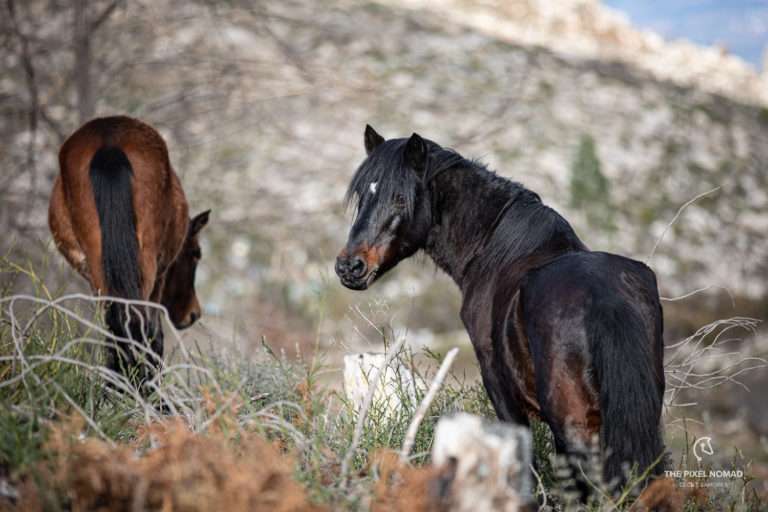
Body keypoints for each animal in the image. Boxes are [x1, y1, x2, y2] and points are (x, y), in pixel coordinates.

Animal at [48, 115, 210, 388]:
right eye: (196, 253)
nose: (193, 314)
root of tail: (109, 143)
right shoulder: (160, 276)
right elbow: (155, 336)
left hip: (100, 267)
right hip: (146, 268)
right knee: (139, 327)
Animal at [336, 125, 664, 496]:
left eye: (400, 199)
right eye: (362, 196)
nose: (350, 266)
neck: (495, 248)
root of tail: (605, 299)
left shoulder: (499, 386)